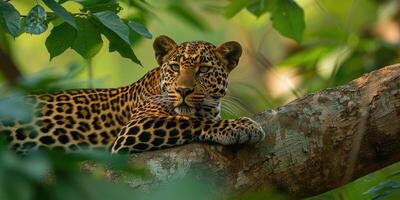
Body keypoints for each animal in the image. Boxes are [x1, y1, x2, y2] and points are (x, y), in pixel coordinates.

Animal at [1, 35, 268, 155]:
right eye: (175, 67)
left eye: (203, 70)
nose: (183, 91)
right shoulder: (134, 128)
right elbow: (189, 120)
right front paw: (240, 126)